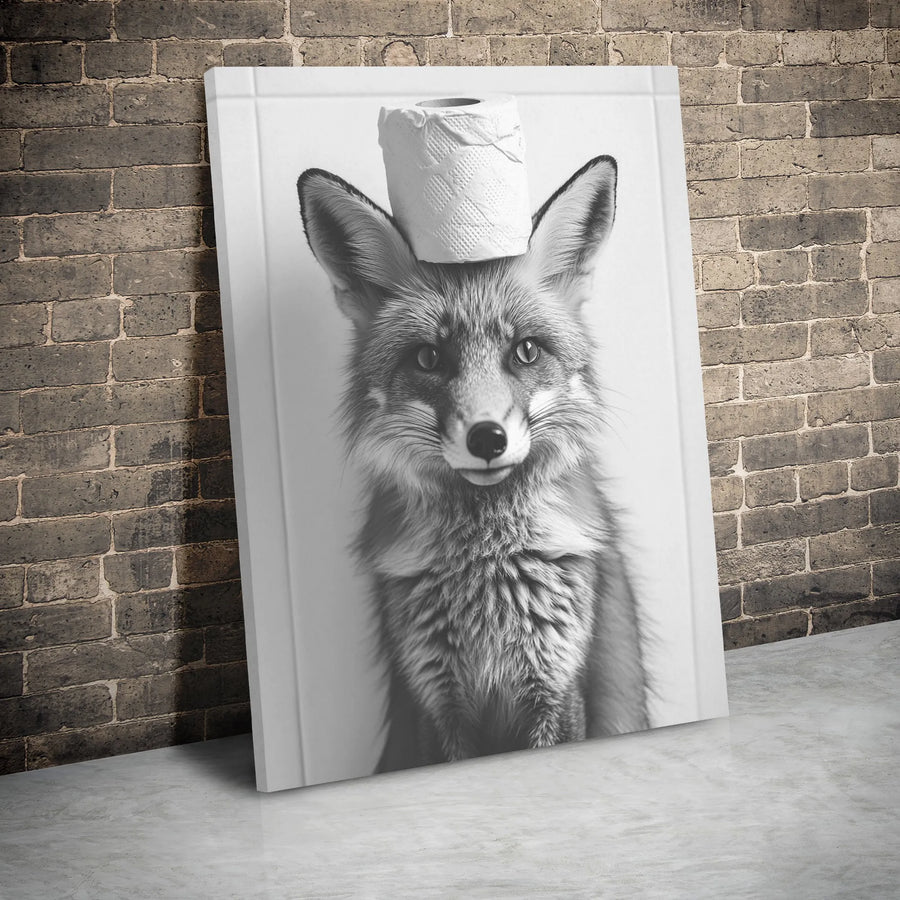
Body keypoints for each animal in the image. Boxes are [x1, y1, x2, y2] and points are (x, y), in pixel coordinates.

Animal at [297, 154, 648, 772]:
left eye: (525, 351)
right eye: (429, 358)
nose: (488, 438)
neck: (487, 563)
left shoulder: (555, 687)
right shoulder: (436, 701)